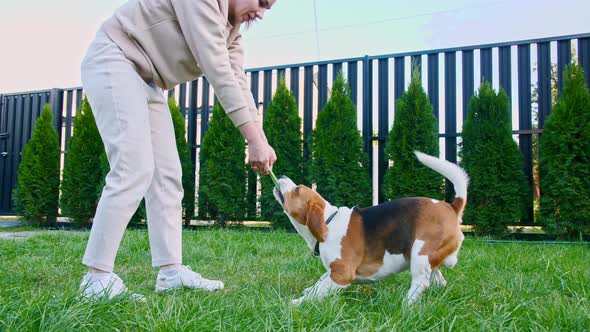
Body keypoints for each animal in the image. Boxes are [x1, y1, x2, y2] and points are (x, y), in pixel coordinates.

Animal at [274, 152, 472, 304]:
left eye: (297, 190)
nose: (282, 176)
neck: (328, 221)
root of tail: (451, 207)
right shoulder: (332, 272)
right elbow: (318, 283)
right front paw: (307, 291)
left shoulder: (341, 274)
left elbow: (318, 291)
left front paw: (296, 303)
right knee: (438, 279)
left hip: (421, 253)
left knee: (421, 282)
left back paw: (406, 305)